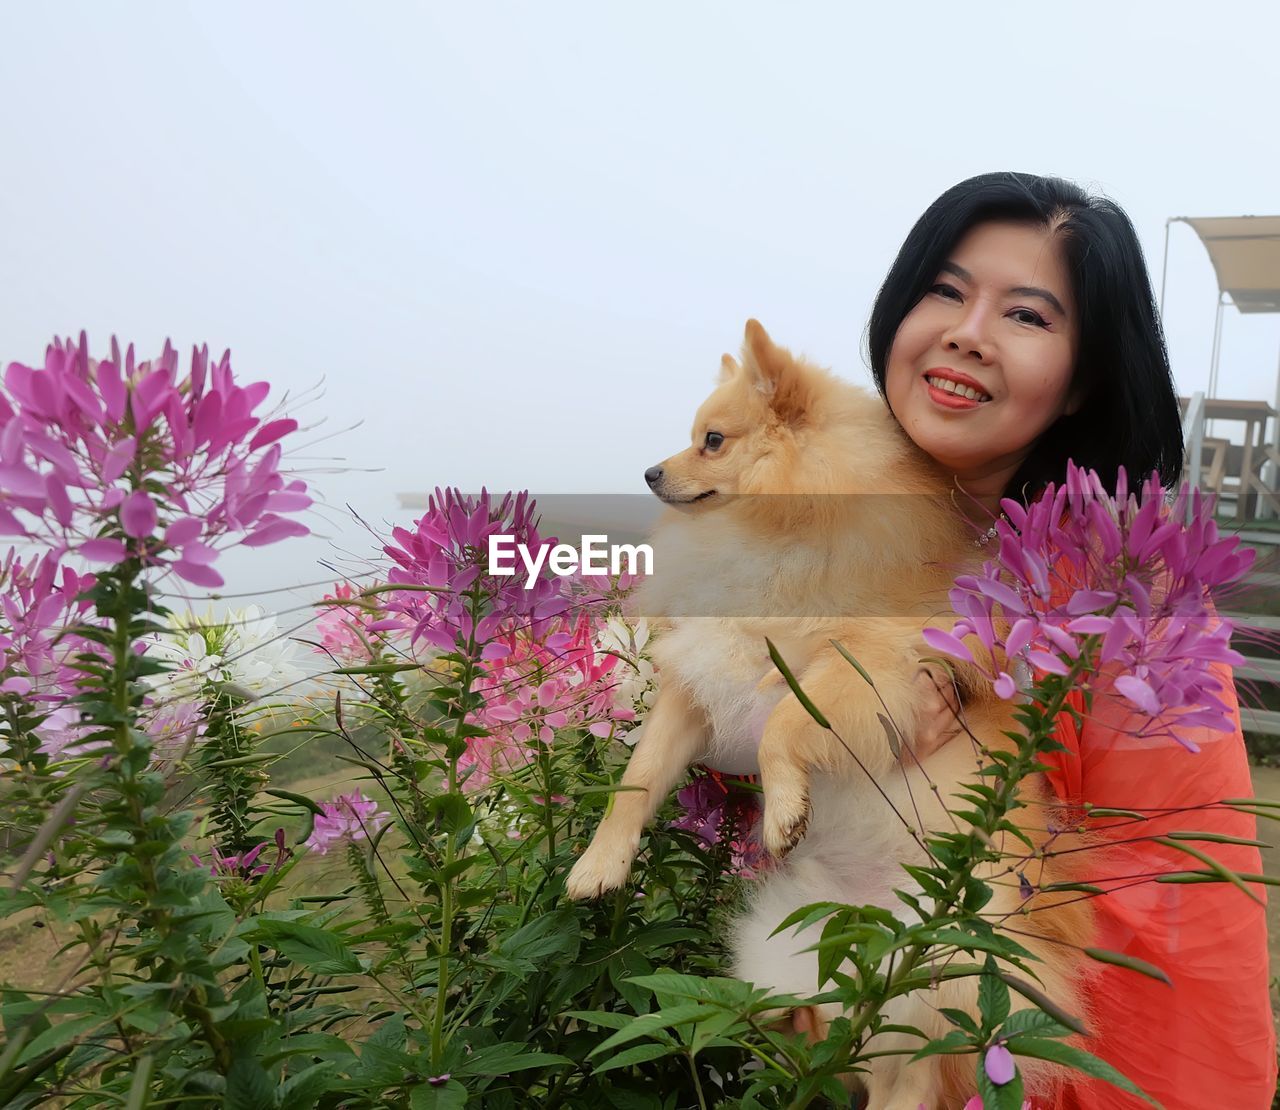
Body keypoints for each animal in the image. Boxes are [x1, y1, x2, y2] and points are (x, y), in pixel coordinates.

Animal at [568, 321, 1090, 1110]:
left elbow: (786, 725)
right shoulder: (700, 679)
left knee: (913, 1074)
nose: (652, 472)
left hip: (948, 981)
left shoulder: (869, 665)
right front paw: (601, 864)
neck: (769, 529)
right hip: (797, 966)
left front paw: (784, 810)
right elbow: (637, 780)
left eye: (712, 441)